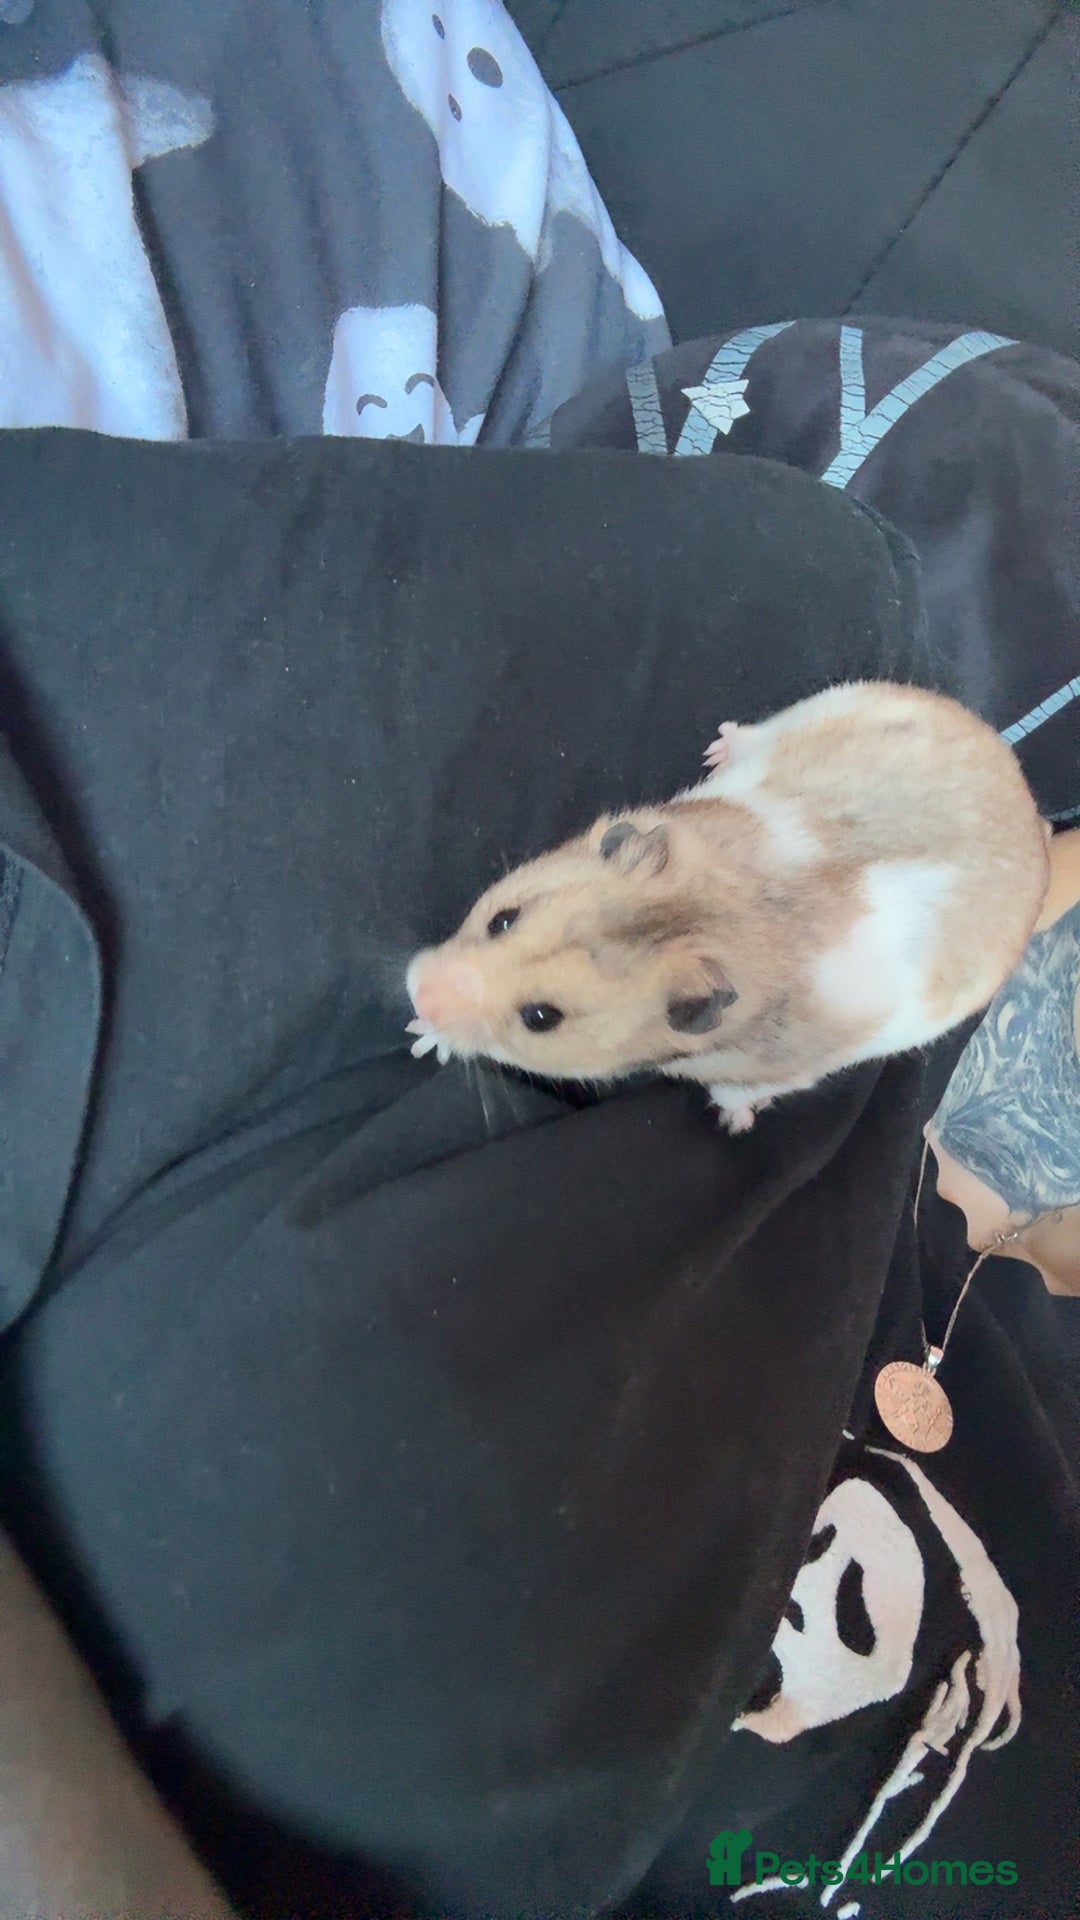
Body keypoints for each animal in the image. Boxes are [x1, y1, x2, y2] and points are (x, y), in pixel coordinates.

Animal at [406, 682, 1050, 1131]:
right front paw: (421, 1034)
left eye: (540, 1017)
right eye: (502, 919)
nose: (415, 993)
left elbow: (740, 1090)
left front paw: (730, 1122)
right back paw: (721, 746)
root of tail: (1031, 808)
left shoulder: (780, 1069)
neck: (718, 912)